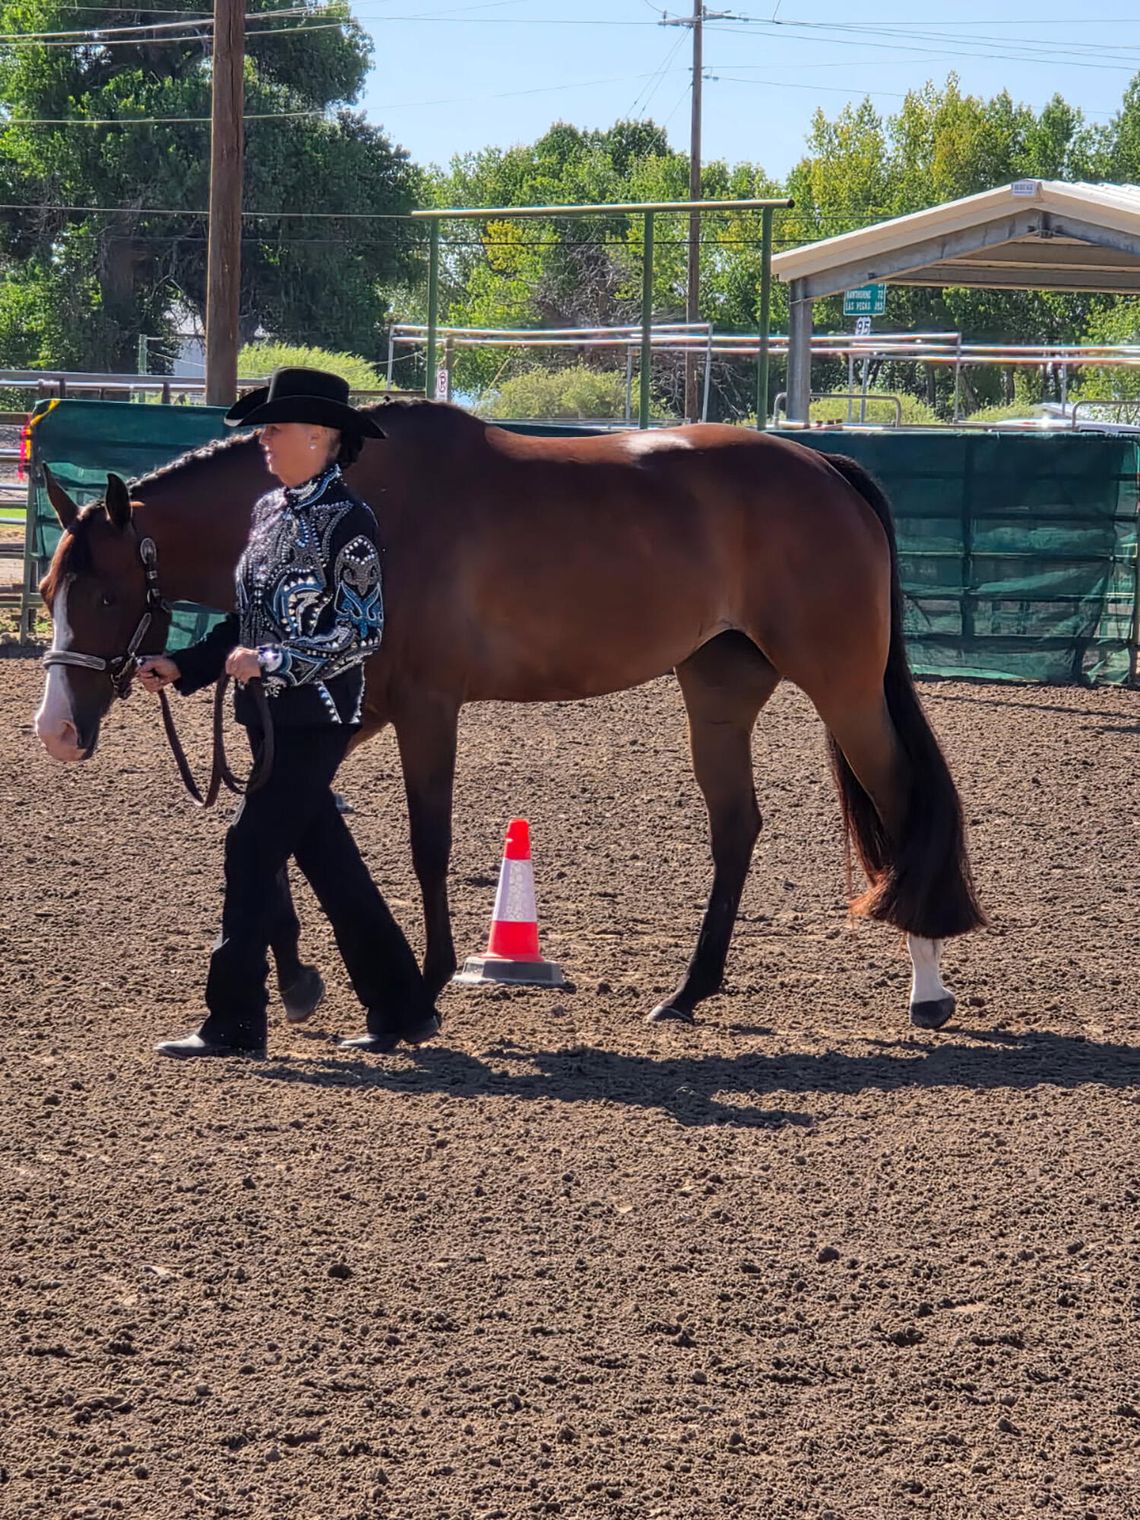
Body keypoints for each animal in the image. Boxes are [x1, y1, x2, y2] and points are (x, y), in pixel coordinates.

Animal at [33, 401, 984, 1029]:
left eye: (109, 593)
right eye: (46, 592)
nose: (57, 732)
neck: (369, 504)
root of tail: (827, 471)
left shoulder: (423, 708)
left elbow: (426, 844)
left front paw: (422, 988)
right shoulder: (350, 710)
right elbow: (286, 828)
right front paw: (300, 979)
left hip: (842, 687)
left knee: (903, 802)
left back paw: (928, 991)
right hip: (716, 693)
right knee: (738, 827)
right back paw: (687, 992)